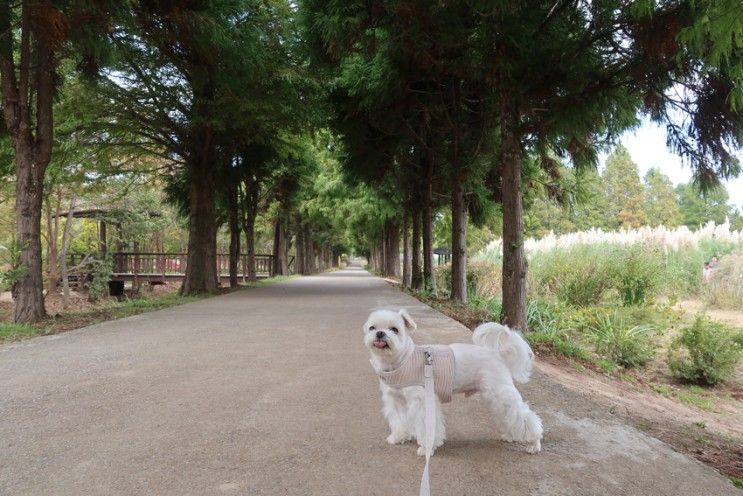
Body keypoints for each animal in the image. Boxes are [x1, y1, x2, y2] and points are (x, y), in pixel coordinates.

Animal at [364, 310, 544, 458]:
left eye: (394, 329)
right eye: (372, 328)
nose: (380, 333)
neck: (401, 362)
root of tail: (497, 354)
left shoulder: (423, 401)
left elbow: (426, 425)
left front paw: (426, 448)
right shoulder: (396, 400)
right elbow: (399, 420)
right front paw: (398, 437)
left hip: (500, 393)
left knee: (526, 418)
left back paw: (534, 443)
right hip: (495, 398)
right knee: (508, 416)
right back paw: (510, 436)